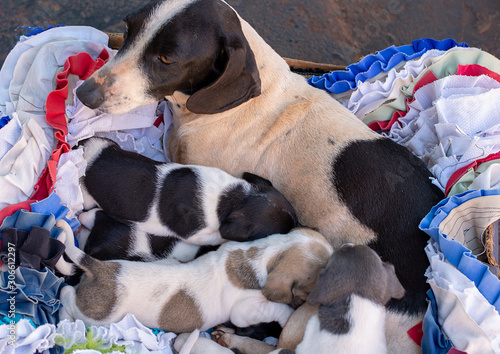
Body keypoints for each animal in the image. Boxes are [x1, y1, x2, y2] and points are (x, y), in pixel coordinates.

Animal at [54, 220, 334, 334]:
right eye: (313, 283)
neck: (262, 255)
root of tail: (101, 269)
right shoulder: (244, 313)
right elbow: (275, 308)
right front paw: (288, 317)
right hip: (95, 316)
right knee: (67, 295)